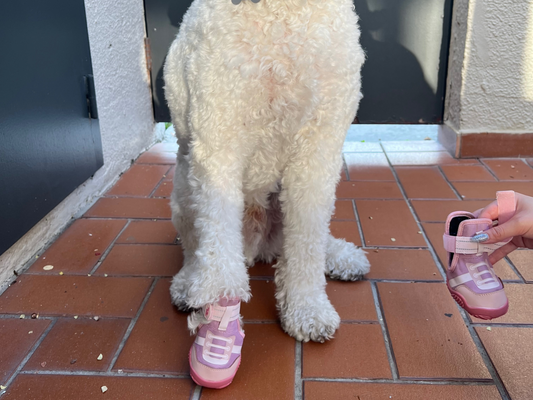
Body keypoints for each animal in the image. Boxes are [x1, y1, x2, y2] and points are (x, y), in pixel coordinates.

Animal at [164, 0, 368, 344]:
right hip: (183, 189)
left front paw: (307, 308)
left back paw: (341, 256)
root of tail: (258, 243)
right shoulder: (219, 136)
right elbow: (218, 231)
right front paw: (220, 296)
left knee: (317, 236)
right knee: (194, 245)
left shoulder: (319, 146)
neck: (281, 13)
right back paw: (187, 283)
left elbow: (308, 238)